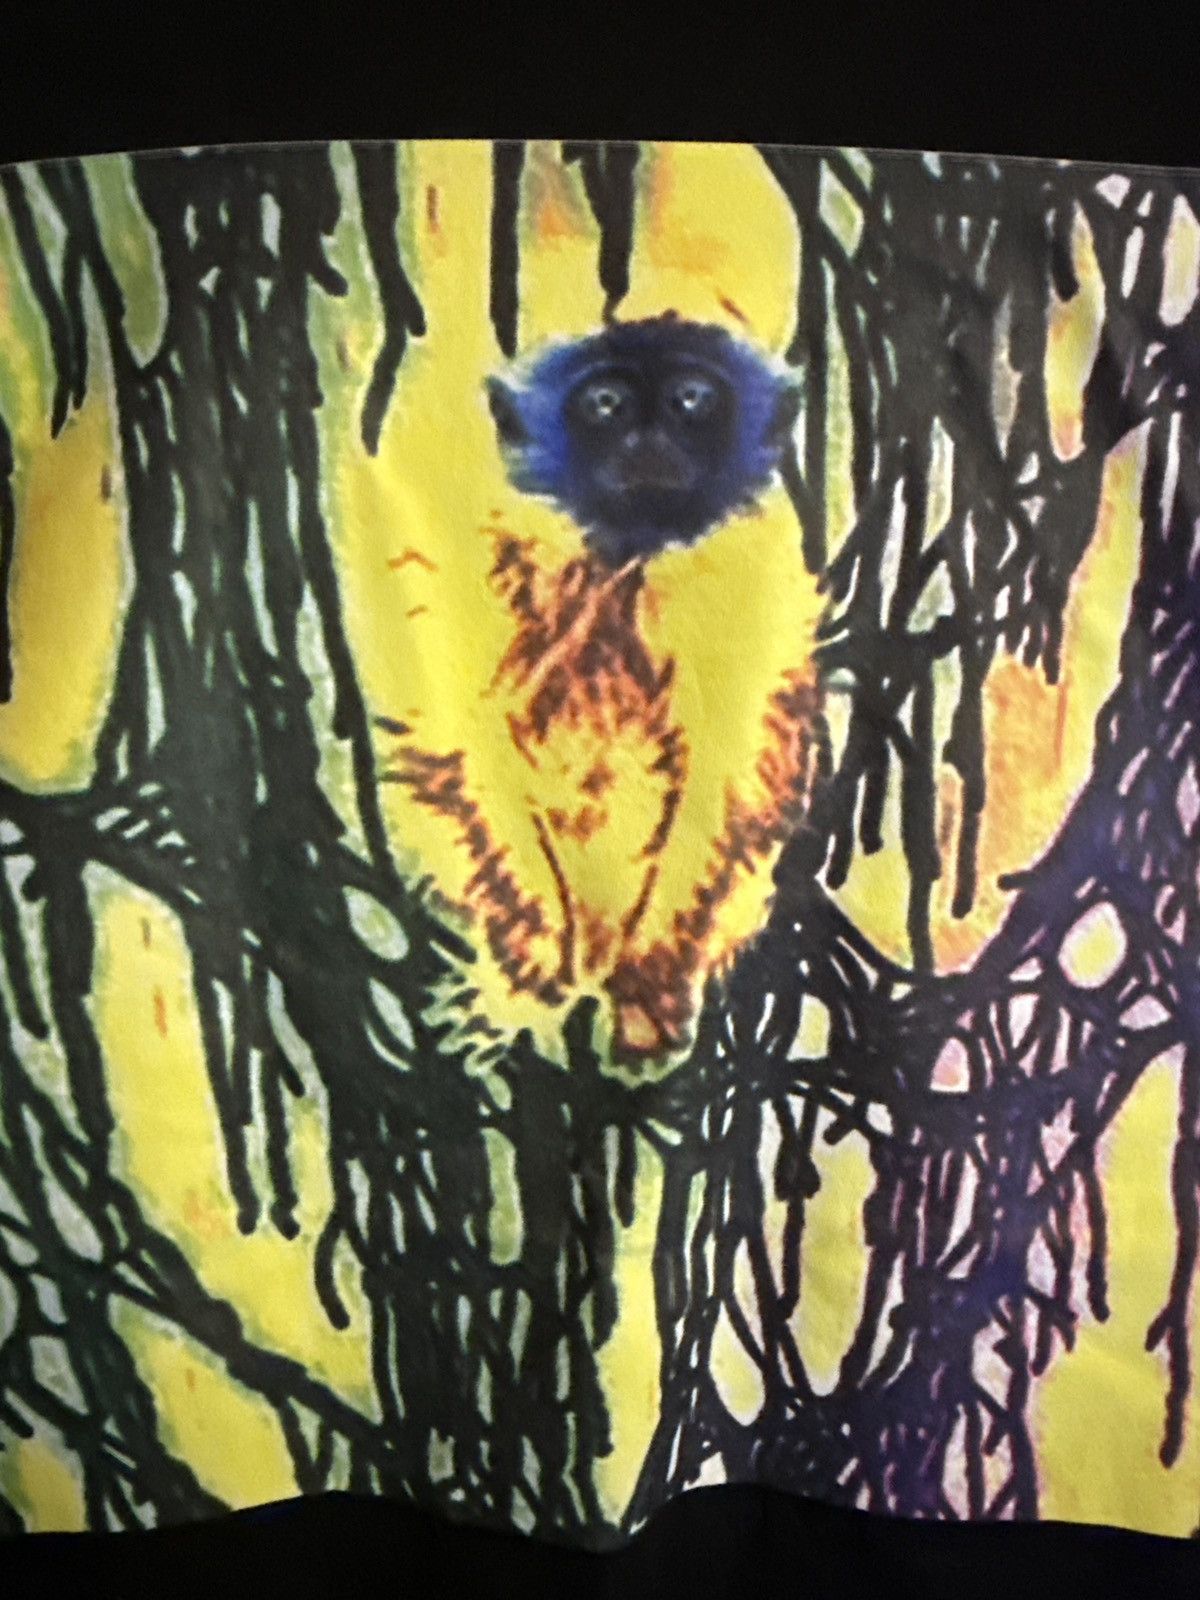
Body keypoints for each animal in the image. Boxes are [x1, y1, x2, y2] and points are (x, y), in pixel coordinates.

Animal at [384, 315, 821, 1063]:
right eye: (606, 405)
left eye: (692, 400)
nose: (646, 440)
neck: (626, 556)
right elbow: (471, 751)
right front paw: (531, 965)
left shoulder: (751, 588)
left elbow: (728, 787)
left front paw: (649, 981)